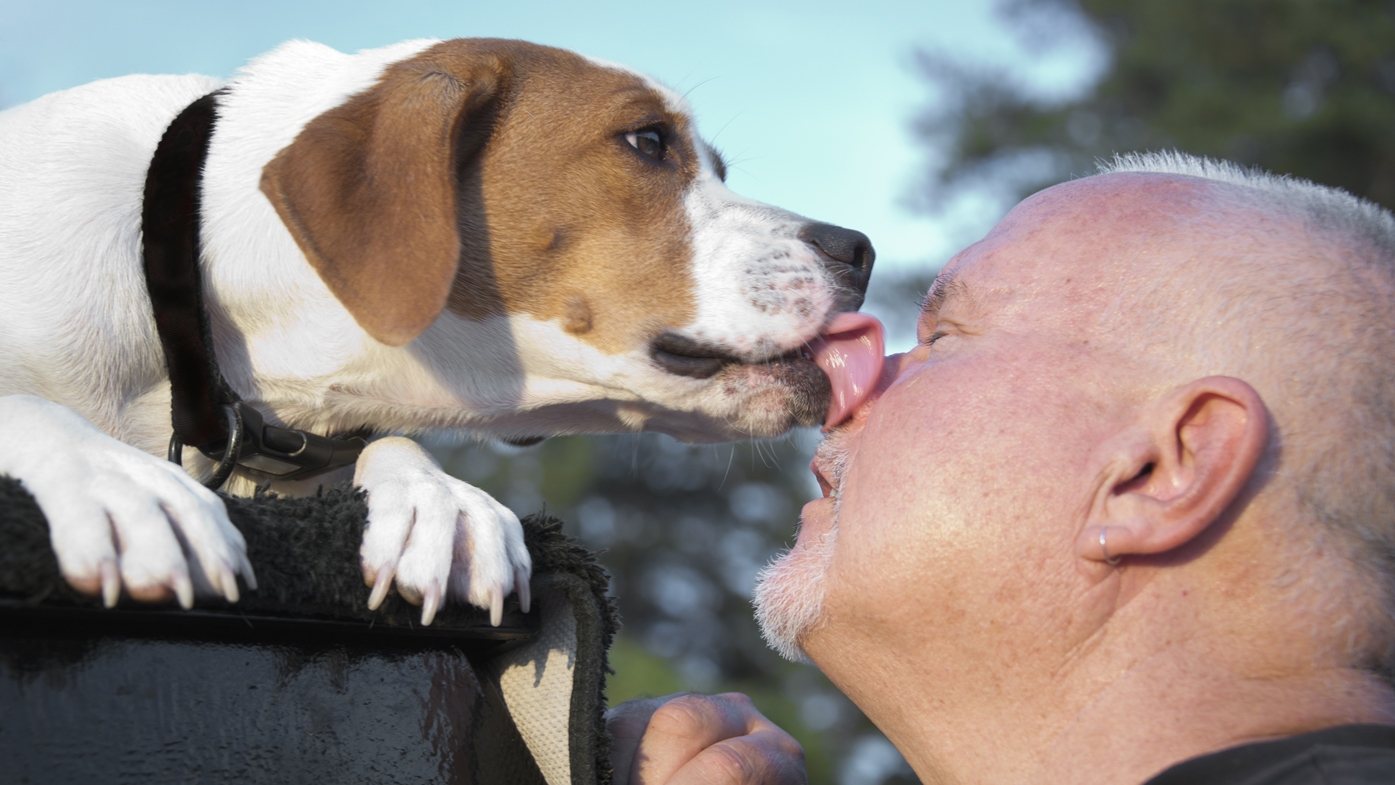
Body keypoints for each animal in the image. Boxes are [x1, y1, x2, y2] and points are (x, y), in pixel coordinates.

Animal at [0, 38, 881, 627]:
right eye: (647, 141)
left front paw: (441, 501)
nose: (860, 250)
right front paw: (116, 478)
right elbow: (26, 406)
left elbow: (389, 443)